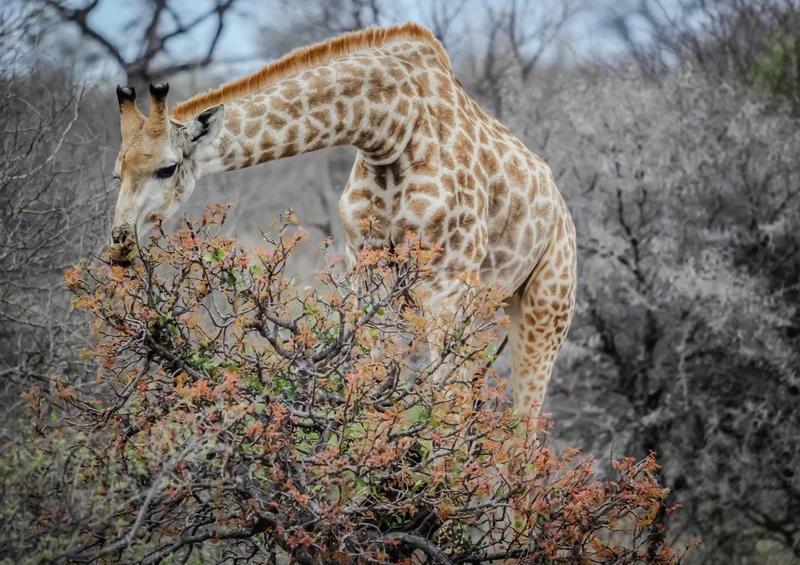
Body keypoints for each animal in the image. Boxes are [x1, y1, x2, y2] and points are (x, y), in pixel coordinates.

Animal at [108, 22, 576, 417]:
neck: (390, 128)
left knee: (524, 423)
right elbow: (367, 376)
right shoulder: (364, 263)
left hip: (545, 307)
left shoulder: (446, 280)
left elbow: (443, 402)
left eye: (167, 168)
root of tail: (561, 207)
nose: (119, 244)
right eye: (117, 172)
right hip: (487, 304)